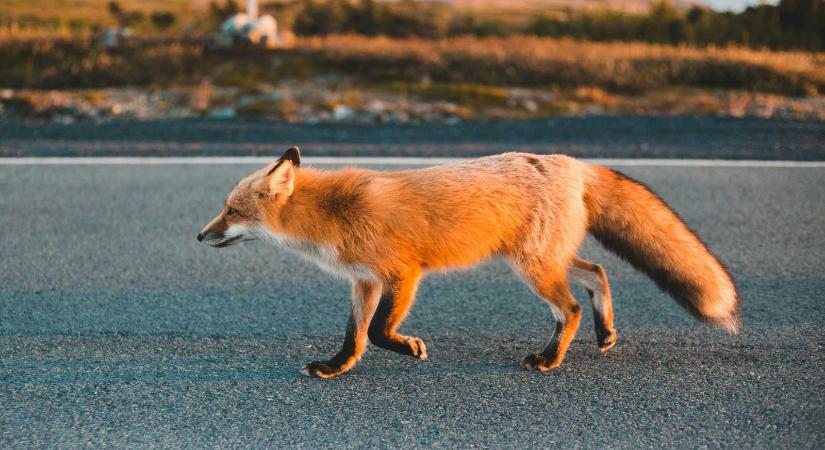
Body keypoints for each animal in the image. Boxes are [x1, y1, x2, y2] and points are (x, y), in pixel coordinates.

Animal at [196, 149, 736, 380]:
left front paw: (410, 347)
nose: (200, 236)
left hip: (533, 267)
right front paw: (336, 367)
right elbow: (355, 336)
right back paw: (605, 333)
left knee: (570, 308)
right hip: (544, 259)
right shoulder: (364, 281)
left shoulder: (402, 272)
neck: (333, 213)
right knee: (597, 273)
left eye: (232, 212)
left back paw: (551, 359)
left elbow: (380, 333)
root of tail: (573, 161)